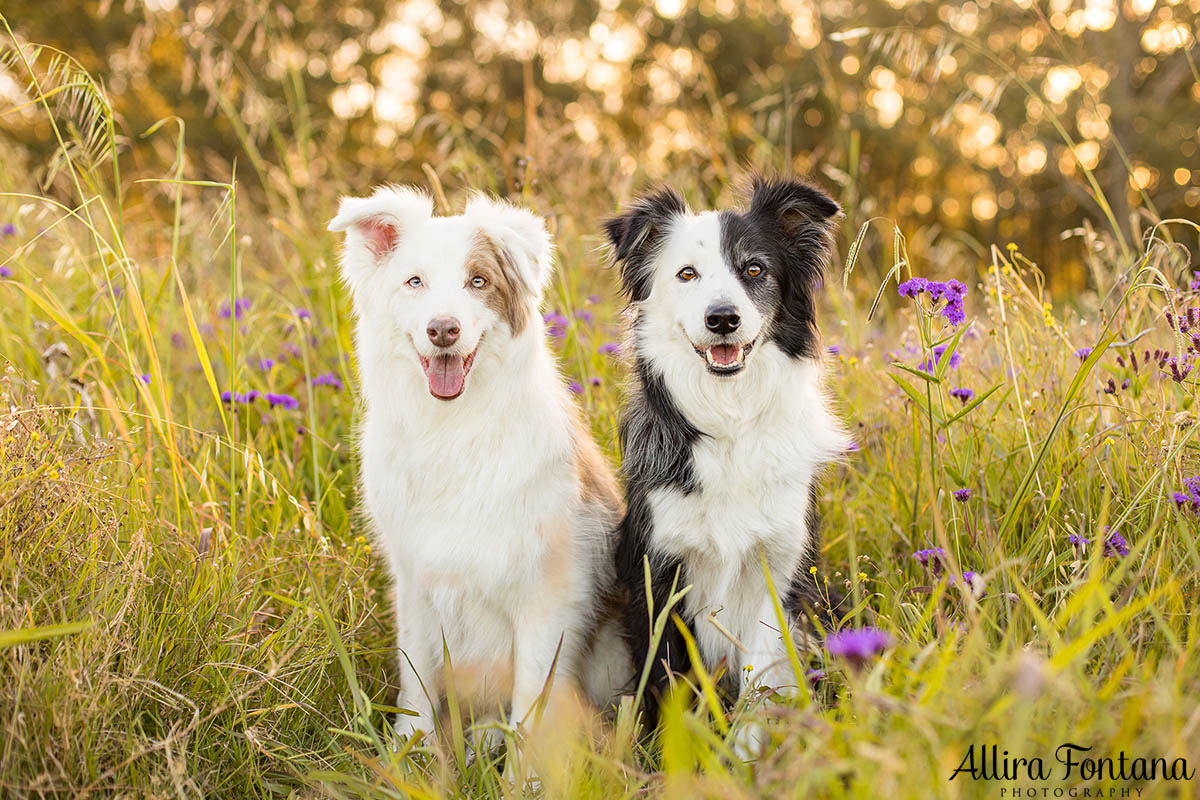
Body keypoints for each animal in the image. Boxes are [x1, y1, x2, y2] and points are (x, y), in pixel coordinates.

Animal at [328, 185, 628, 753]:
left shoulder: (546, 601)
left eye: (479, 282)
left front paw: (524, 771)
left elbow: (532, 710)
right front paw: (410, 756)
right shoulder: (415, 584)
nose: (443, 329)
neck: (454, 431)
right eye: (415, 281)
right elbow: (416, 687)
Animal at [604, 179, 849, 743]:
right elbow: (668, 678)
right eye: (686, 274)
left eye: (754, 269)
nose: (722, 319)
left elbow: (765, 675)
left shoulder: (780, 571)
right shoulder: (659, 572)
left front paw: (748, 748)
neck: (731, 418)